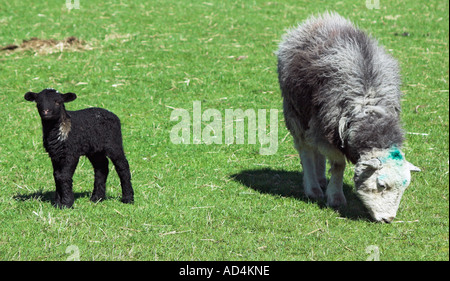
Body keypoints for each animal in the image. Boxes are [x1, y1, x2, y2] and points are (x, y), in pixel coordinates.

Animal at [276, 12, 420, 221]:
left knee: (315, 149)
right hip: (295, 111)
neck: (369, 110)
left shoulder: (327, 129)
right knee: (305, 148)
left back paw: (321, 179)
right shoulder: (327, 129)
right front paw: (335, 197)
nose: (388, 219)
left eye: (405, 187)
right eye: (381, 185)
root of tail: (320, 20)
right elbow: (338, 165)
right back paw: (313, 188)